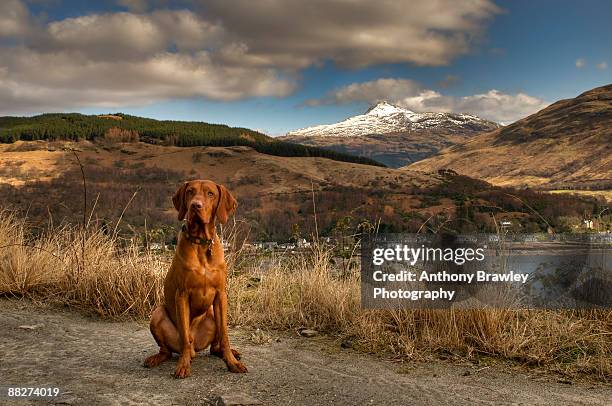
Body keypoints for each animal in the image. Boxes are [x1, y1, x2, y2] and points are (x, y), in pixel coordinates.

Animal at [143, 180, 246, 378]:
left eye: (210, 194)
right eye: (190, 192)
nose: (195, 206)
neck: (201, 243)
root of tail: (196, 347)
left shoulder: (221, 295)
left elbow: (225, 335)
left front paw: (232, 363)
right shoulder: (182, 295)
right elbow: (184, 335)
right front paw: (183, 365)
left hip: (212, 313)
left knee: (215, 347)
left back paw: (228, 353)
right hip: (157, 314)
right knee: (168, 350)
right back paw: (159, 358)